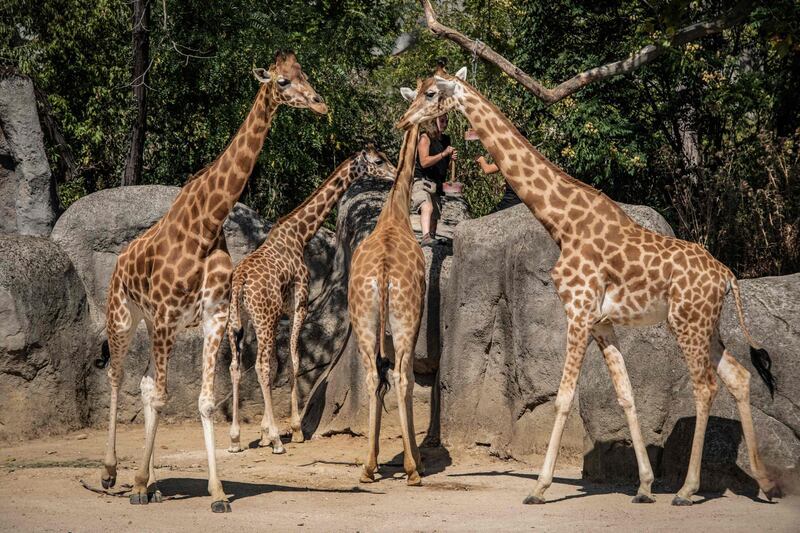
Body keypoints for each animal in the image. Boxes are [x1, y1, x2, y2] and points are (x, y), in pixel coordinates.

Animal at [98, 52, 326, 512]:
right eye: (282, 81)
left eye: (305, 76)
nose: (320, 104)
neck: (206, 224)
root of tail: (120, 262)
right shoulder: (168, 314)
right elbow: (164, 396)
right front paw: (137, 483)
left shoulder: (213, 316)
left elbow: (202, 401)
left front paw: (218, 492)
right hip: (125, 315)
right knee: (117, 376)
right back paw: (114, 473)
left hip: (153, 323)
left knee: (144, 384)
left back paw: (151, 481)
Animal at [227, 144, 396, 454]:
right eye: (379, 161)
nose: (393, 173)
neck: (299, 234)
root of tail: (240, 282)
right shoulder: (300, 302)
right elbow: (294, 359)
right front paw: (293, 430)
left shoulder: (281, 311)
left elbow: (283, 361)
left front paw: (265, 432)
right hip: (263, 318)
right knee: (260, 366)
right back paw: (277, 441)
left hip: (238, 320)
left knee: (236, 366)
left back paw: (235, 439)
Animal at [396, 68, 780, 504]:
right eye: (414, 92)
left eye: (431, 94)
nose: (403, 122)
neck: (563, 223)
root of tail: (727, 276)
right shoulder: (602, 323)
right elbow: (626, 394)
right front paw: (644, 485)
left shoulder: (577, 312)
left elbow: (563, 397)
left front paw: (540, 487)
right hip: (705, 324)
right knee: (739, 376)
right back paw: (765, 485)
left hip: (688, 322)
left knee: (704, 386)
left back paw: (687, 489)